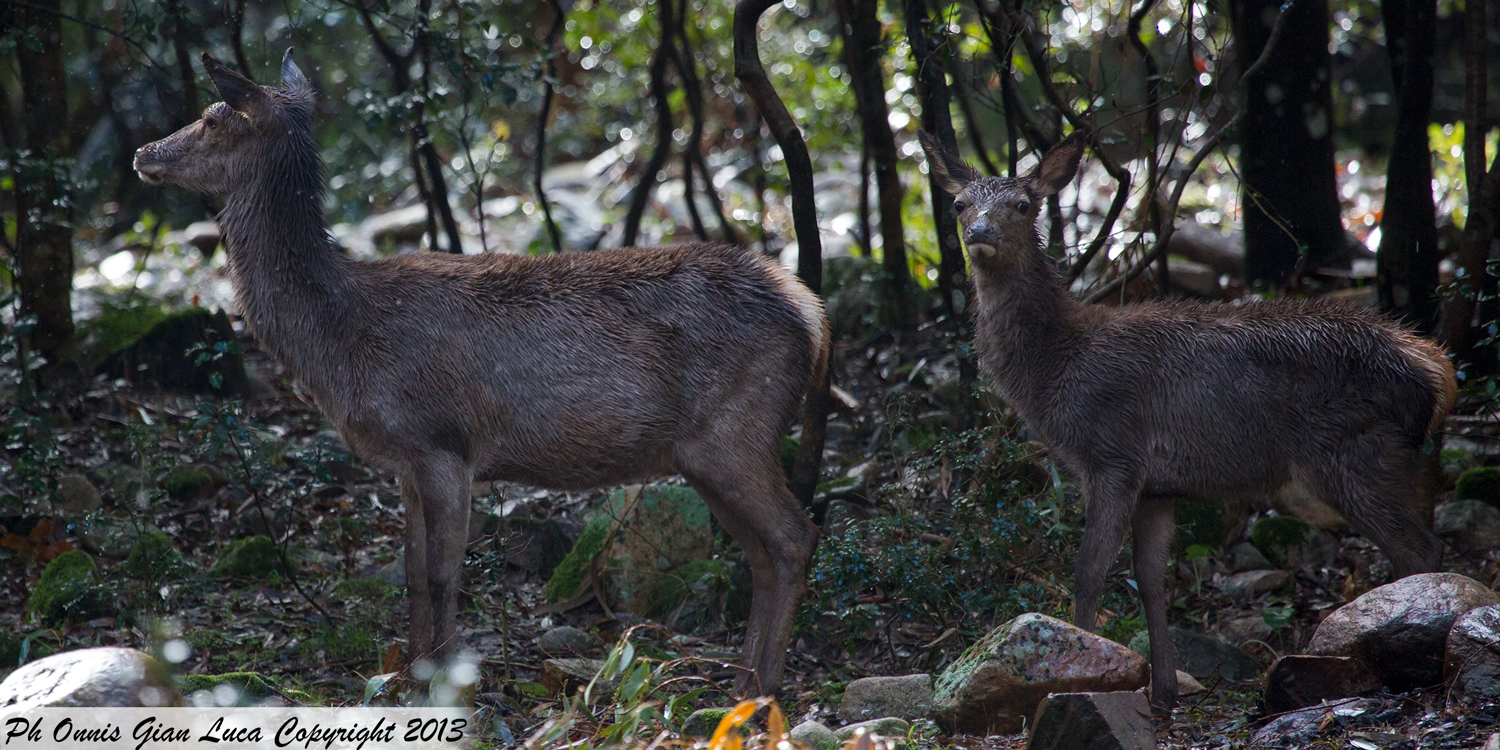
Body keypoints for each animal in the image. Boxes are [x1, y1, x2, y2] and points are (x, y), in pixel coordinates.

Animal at [133, 49, 827, 698]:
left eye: (212, 118)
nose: (144, 152)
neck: (342, 336)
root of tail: (810, 313)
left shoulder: (444, 440)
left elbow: (444, 574)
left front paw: (445, 679)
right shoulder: (407, 458)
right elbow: (413, 574)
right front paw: (410, 676)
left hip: (736, 429)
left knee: (796, 537)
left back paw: (761, 688)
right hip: (705, 453)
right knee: (762, 554)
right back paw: (743, 684)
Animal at [918, 130, 1453, 710]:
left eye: (1022, 204)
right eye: (958, 203)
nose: (979, 233)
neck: (1056, 367)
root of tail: (1435, 374)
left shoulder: (1113, 454)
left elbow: (1089, 569)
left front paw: (1075, 668)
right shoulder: (1156, 487)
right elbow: (1150, 578)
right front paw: (1163, 688)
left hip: (1351, 450)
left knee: (1420, 547)